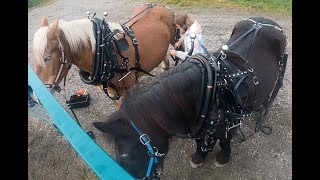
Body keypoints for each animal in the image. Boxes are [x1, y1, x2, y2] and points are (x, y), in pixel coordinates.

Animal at [31, 2, 175, 109]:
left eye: (47, 58)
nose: (37, 98)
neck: (107, 53)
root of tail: (158, 5)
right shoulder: (113, 93)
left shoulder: (127, 90)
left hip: (173, 37)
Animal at [92, 17, 288, 179]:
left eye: (127, 155)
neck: (209, 90)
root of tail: (264, 22)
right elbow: (202, 140)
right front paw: (200, 155)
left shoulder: (227, 123)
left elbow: (225, 140)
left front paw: (223, 157)